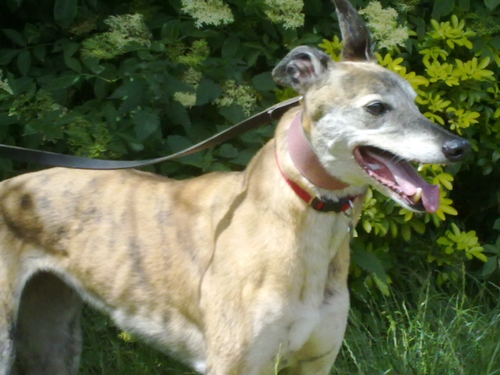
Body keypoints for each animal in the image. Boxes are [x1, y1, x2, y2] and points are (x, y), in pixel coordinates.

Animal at [0, 0, 470, 374]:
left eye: (415, 102)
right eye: (376, 108)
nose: (459, 147)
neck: (296, 218)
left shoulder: (314, 362)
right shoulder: (236, 364)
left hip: (51, 334)